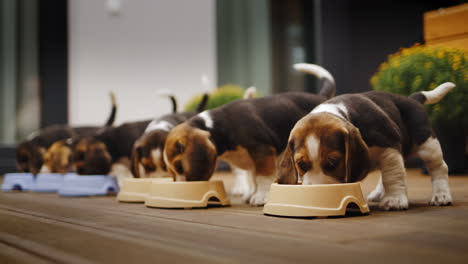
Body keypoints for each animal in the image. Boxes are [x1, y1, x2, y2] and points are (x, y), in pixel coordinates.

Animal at [163, 64, 334, 206]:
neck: (215, 127)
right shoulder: (252, 161)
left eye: (179, 166)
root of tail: (321, 96)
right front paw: (252, 194)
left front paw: (261, 197)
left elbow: (262, 177)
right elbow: (253, 178)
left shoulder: (262, 151)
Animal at [276, 82, 456, 210]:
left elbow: (393, 176)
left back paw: (441, 195)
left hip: (427, 144)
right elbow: (390, 174)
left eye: (333, 163)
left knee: (439, 168)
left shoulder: (389, 145)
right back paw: (378, 193)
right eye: (301, 164)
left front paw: (395, 200)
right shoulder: (390, 154)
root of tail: (411, 98)